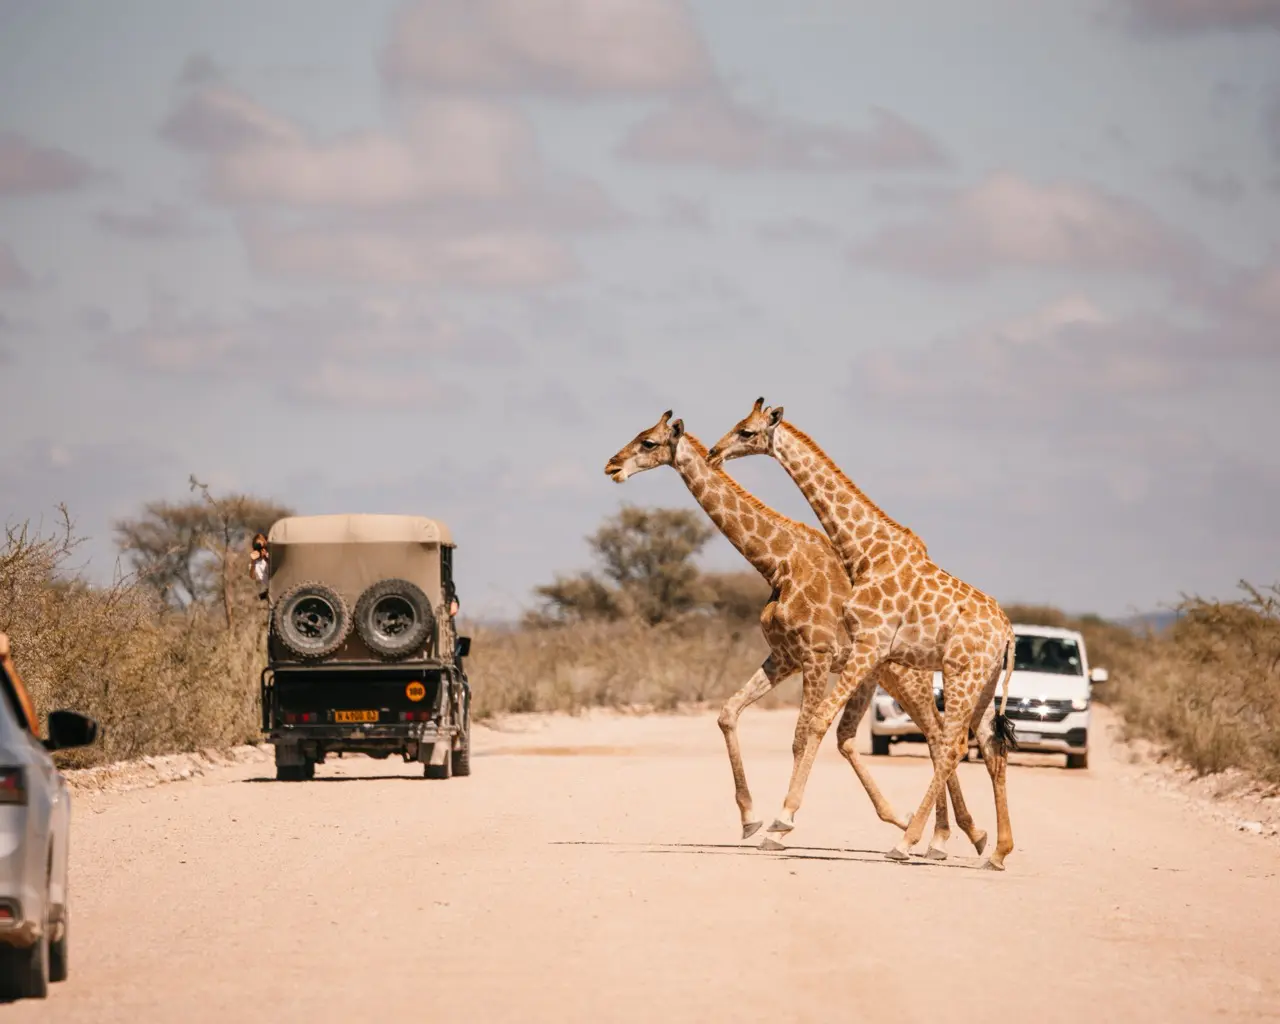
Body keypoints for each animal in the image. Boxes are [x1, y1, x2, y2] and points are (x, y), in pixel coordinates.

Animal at [605, 411, 988, 858]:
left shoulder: (815, 655)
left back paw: (947, 835)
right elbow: (728, 713)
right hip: (882, 674)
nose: (612, 466)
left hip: (907, 676)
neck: (777, 562)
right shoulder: (784, 656)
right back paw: (942, 831)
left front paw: (780, 825)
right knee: (895, 737)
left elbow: (801, 737)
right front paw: (750, 819)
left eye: (648, 442)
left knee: (937, 736)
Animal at [707, 399, 1019, 869]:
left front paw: (781, 822)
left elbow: (815, 723)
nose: (714, 452)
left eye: (746, 431)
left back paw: (908, 842)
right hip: (980, 682)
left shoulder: (867, 645)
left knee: (950, 745)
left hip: (960, 674)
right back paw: (996, 851)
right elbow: (826, 729)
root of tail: (1008, 632)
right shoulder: (863, 652)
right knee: (989, 747)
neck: (866, 550)